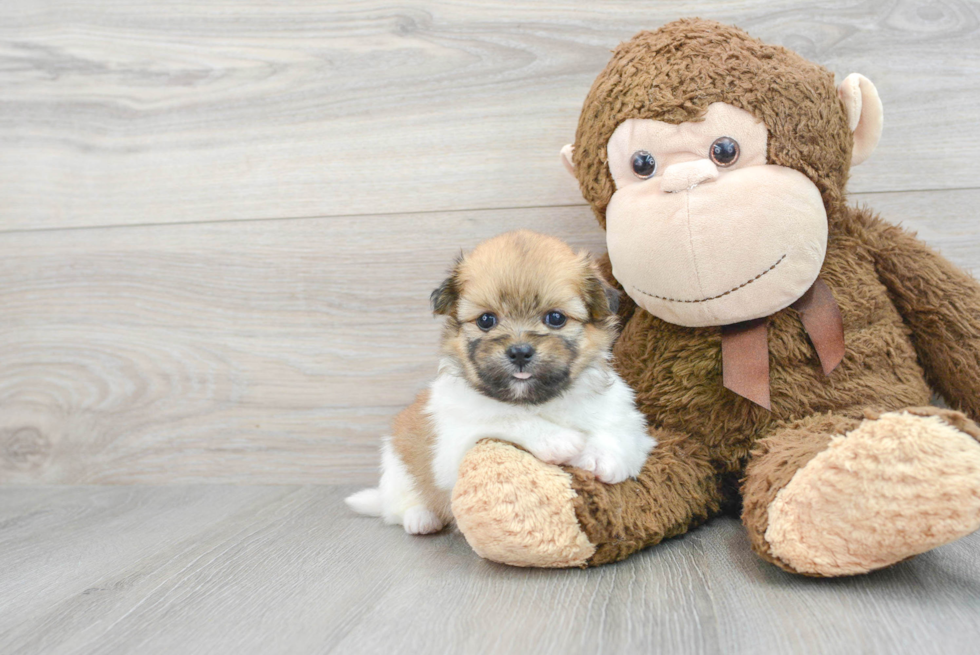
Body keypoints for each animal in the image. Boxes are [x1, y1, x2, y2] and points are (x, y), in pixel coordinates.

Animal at [348, 231, 656, 532]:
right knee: (396, 507)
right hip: (397, 470)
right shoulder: (454, 444)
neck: (534, 402)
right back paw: (421, 518)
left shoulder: (627, 420)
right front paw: (558, 440)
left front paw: (603, 456)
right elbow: (503, 417)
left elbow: (619, 432)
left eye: (555, 318)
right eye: (486, 320)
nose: (519, 352)